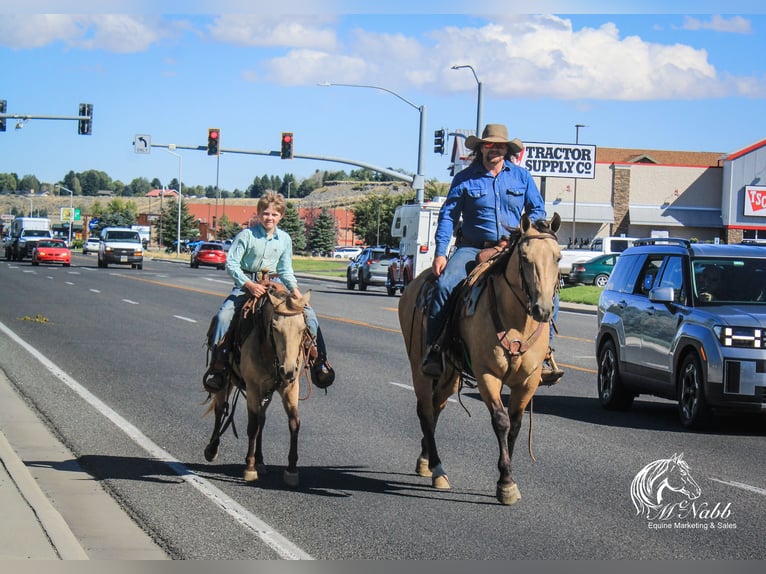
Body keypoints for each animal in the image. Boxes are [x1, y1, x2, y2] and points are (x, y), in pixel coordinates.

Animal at [206, 290, 314, 488]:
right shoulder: (253, 388)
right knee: (220, 409)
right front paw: (250, 468)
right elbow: (252, 426)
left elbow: (294, 423)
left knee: (262, 420)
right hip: (225, 380)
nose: (288, 370)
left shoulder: (290, 387)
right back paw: (212, 449)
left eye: (303, 329)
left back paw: (261, 461)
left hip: (267, 392)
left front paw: (291, 470)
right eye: (275, 327)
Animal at [400, 214, 560, 506]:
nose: (543, 309)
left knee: (437, 407)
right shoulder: (488, 374)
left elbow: (515, 425)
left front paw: (507, 476)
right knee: (426, 411)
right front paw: (506, 483)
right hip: (420, 368)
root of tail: (415, 283)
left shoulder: (528, 381)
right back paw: (438, 469)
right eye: (524, 256)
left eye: (558, 257)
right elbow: (501, 421)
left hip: (450, 376)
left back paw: (425, 460)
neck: (517, 322)